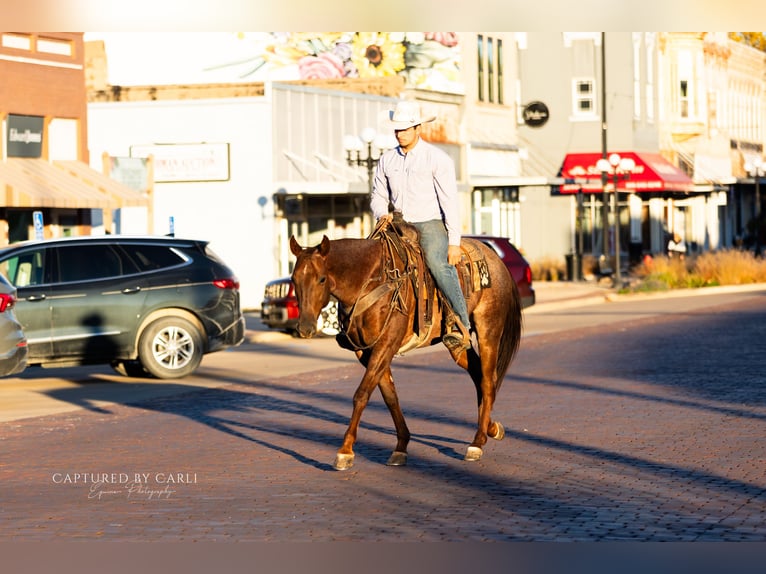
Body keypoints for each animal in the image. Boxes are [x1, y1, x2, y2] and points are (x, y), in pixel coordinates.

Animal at [289, 222, 522, 470]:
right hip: (458, 346)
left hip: (489, 330)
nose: (305, 327)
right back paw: (491, 428)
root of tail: (496, 260)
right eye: (294, 279)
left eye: (322, 279)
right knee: (478, 375)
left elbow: (362, 394)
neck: (371, 280)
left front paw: (345, 452)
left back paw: (477, 443)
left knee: (487, 381)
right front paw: (401, 447)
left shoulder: (386, 344)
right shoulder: (367, 351)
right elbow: (390, 396)